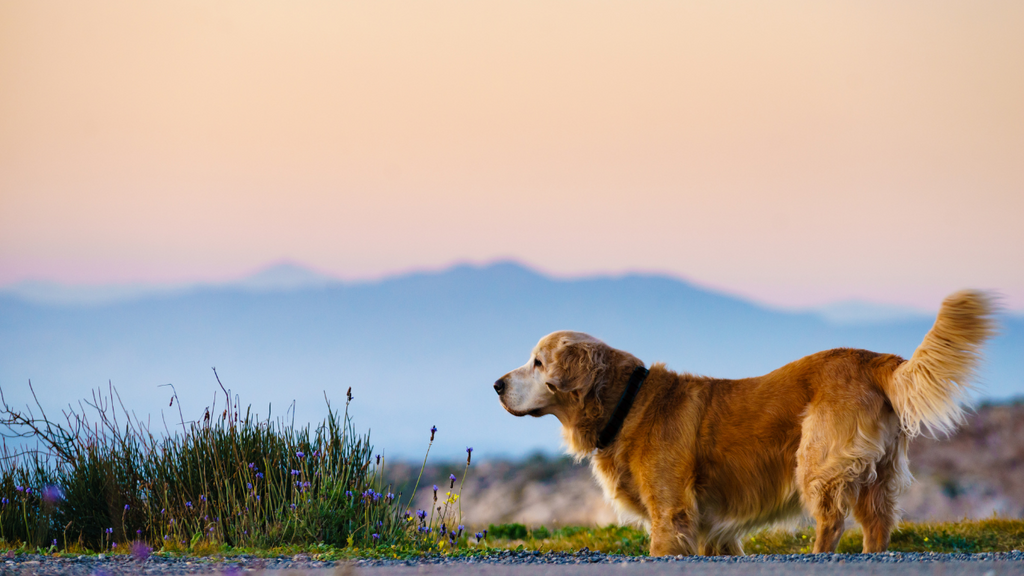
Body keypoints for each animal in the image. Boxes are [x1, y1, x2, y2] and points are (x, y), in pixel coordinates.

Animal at [493, 289, 991, 553]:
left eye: (538, 363)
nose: (496, 385)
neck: (627, 404)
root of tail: (874, 359)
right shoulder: (712, 526)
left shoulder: (671, 512)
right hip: (878, 473)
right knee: (877, 523)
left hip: (817, 460)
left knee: (832, 520)